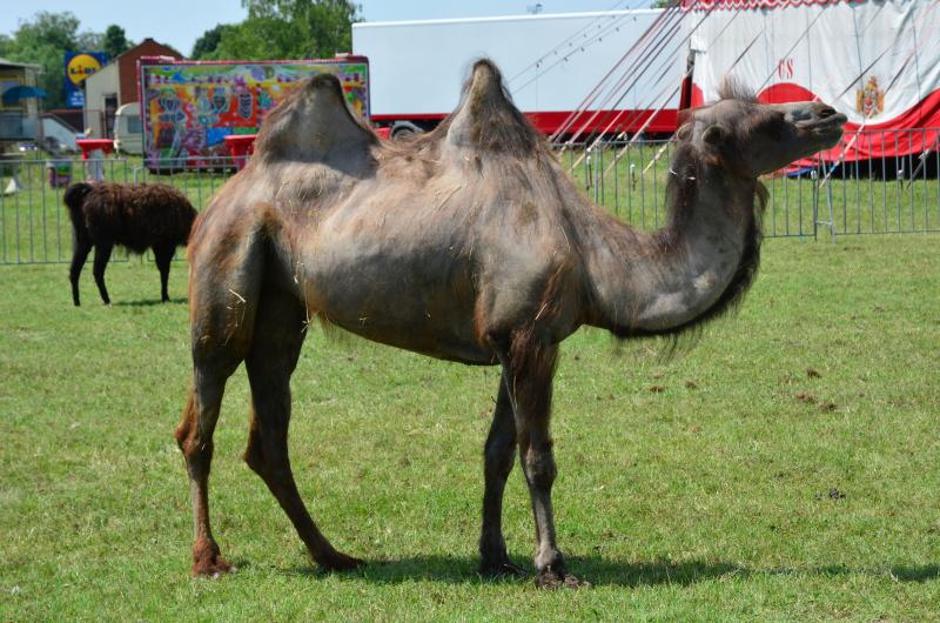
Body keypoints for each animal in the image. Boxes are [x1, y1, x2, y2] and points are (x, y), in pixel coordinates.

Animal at [176, 59, 844, 588]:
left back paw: (333, 555)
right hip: (226, 271)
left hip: (282, 306)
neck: (597, 262)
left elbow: (497, 451)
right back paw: (209, 559)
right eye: (765, 121)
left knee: (269, 430)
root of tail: (227, 191)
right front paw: (553, 565)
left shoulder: (514, 340)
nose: (828, 112)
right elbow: (538, 457)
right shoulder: (529, 338)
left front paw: (495, 557)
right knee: (201, 416)